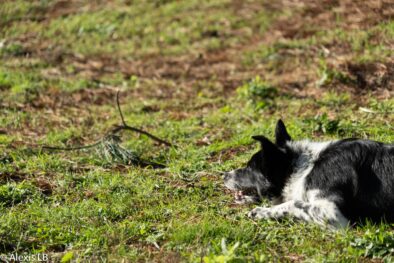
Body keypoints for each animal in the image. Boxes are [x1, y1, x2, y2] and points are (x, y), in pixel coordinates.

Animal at [225, 120, 394, 230]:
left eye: (249, 167)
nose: (224, 175)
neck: (304, 167)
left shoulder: (334, 214)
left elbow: (293, 203)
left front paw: (262, 212)